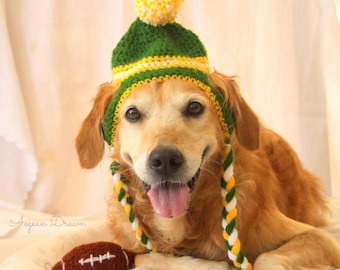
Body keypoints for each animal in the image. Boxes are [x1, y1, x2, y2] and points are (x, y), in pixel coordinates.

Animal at [75, 70, 340, 268]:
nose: (165, 160)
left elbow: (267, 258)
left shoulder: (321, 238)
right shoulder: (134, 249)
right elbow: (149, 258)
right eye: (132, 113)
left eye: (194, 108)